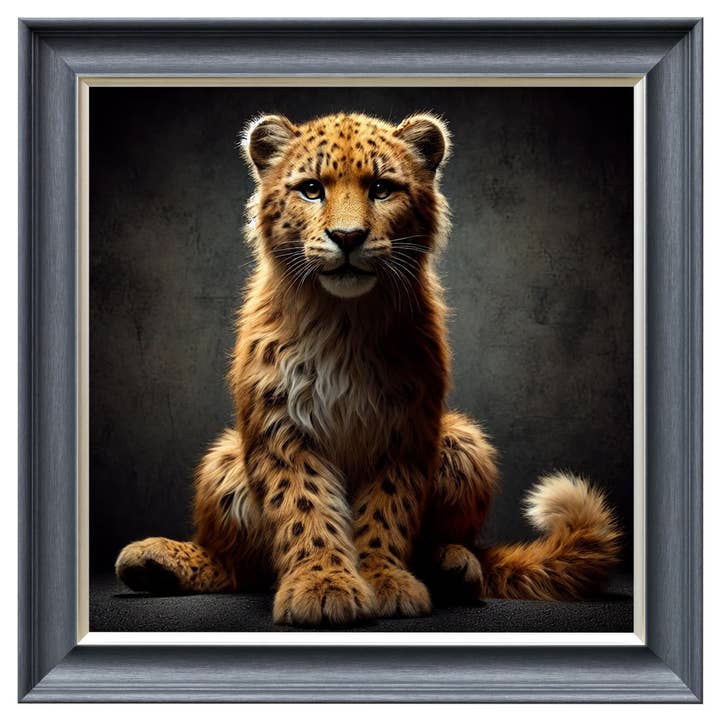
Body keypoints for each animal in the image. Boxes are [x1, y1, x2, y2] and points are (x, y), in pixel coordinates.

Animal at [115, 111, 621, 626]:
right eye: (312, 189)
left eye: (381, 188)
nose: (347, 237)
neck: (344, 320)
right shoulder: (281, 425)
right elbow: (305, 507)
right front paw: (322, 587)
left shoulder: (405, 426)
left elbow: (387, 509)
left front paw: (384, 582)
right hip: (224, 459)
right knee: (238, 564)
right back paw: (152, 562)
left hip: (464, 441)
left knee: (474, 551)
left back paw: (453, 566)